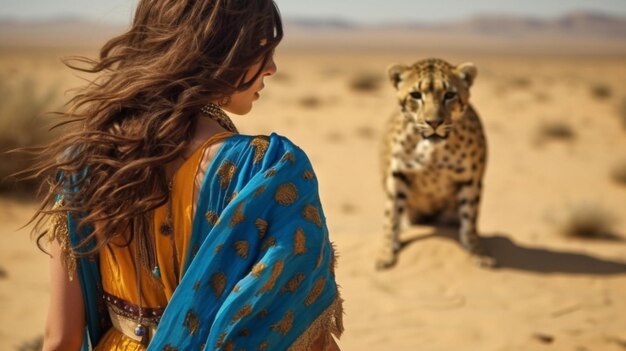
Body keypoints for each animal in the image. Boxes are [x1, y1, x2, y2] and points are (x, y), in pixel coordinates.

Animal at [376, 59, 492, 270]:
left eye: (450, 95)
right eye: (415, 95)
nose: (434, 122)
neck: (431, 148)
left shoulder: (470, 180)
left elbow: (470, 219)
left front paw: (476, 252)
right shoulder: (398, 175)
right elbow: (391, 216)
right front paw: (386, 252)